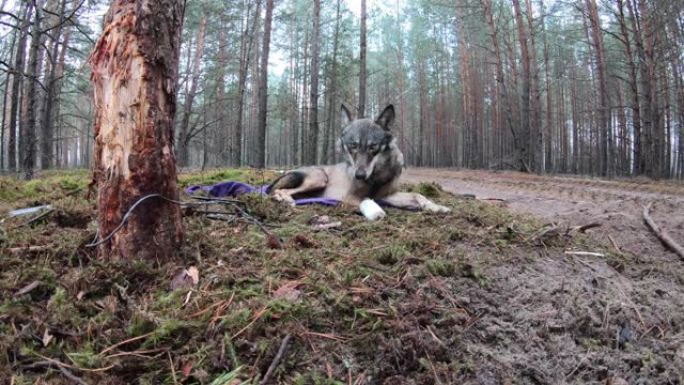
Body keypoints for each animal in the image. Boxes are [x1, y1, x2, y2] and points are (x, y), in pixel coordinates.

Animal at [268, 103, 454, 213]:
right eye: (353, 146)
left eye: (373, 147)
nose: (359, 175)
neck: (377, 175)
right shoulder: (349, 198)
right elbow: (369, 202)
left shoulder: (388, 195)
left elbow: (418, 195)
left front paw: (436, 206)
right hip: (319, 178)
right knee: (278, 191)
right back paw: (285, 199)